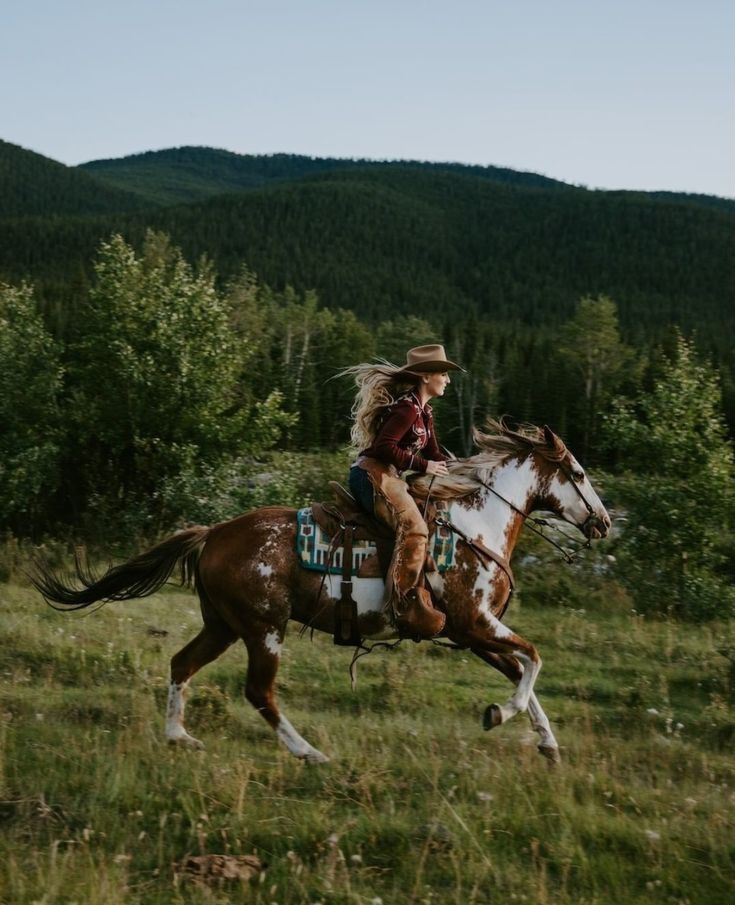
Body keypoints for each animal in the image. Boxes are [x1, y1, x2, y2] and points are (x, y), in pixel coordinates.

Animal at [33, 422, 608, 764]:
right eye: (579, 473)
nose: (602, 522)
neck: (476, 524)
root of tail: (214, 532)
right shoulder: (474, 623)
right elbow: (533, 660)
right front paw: (501, 716)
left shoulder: (473, 634)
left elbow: (522, 671)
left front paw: (546, 742)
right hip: (264, 629)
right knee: (259, 692)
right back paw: (308, 752)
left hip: (223, 625)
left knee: (182, 664)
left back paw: (179, 736)